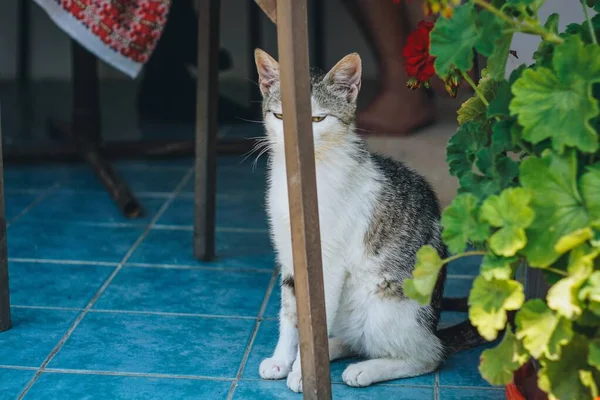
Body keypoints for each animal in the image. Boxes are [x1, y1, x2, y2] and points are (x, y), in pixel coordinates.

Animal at [253, 48, 482, 392]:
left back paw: (365, 369)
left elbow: (314, 315)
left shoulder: (329, 263)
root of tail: (432, 327)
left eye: (318, 119)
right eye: (280, 117)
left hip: (383, 303)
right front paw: (284, 360)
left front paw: (303, 374)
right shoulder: (288, 257)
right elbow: (291, 314)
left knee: (428, 356)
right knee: (359, 340)